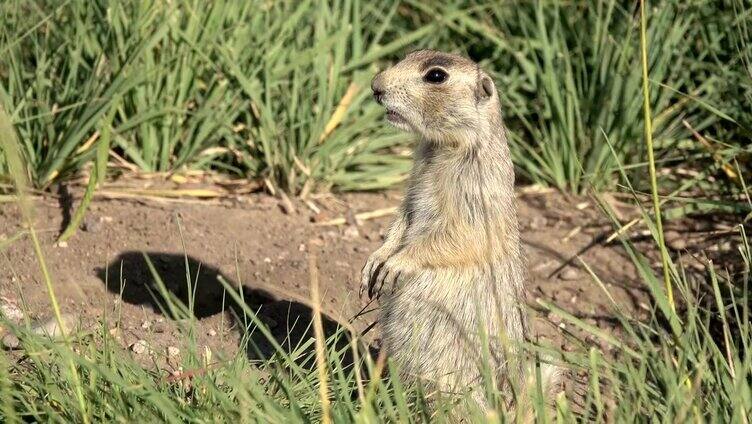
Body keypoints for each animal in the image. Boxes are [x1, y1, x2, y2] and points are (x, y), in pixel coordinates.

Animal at [362, 49, 560, 414]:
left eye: (436, 76)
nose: (375, 86)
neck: (441, 148)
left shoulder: (475, 193)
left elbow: (454, 236)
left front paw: (395, 265)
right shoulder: (414, 187)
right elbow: (401, 220)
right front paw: (374, 262)